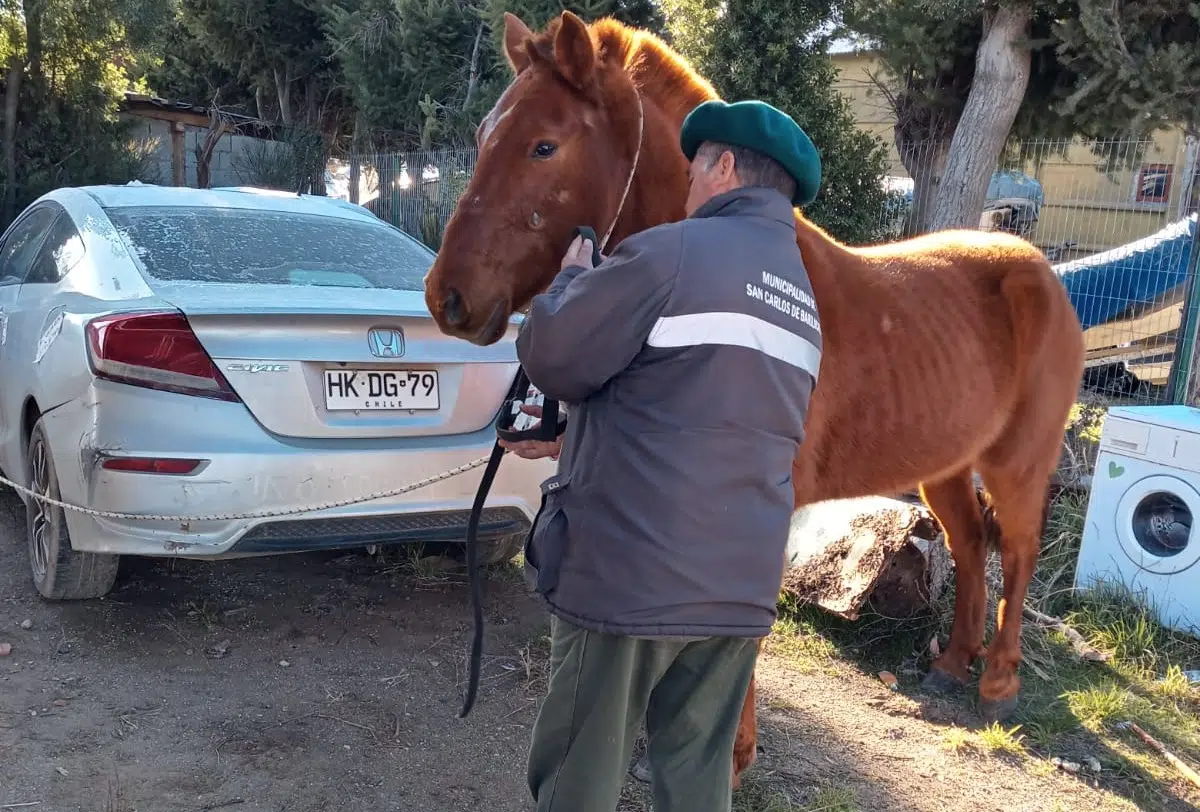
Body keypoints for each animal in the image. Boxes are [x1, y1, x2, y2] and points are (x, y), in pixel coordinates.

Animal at [424, 10, 1086, 789]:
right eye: (482, 137)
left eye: (544, 145)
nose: (447, 297)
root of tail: (1038, 269)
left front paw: (733, 758)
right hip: (946, 465)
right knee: (972, 541)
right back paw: (954, 663)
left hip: (1018, 461)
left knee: (1017, 547)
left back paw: (999, 680)